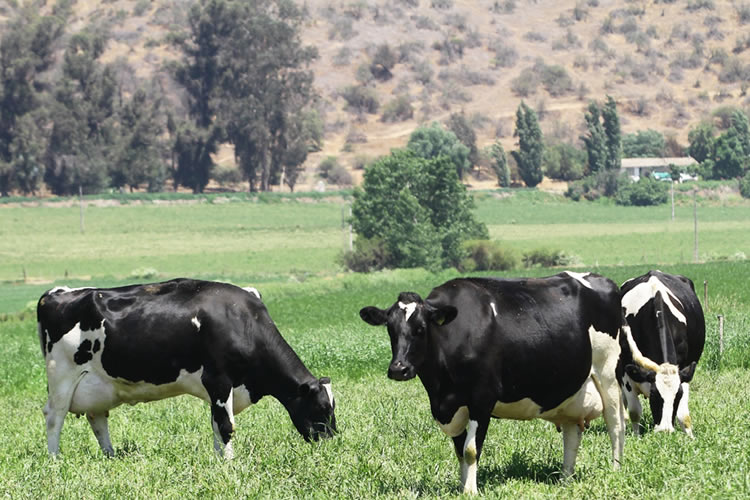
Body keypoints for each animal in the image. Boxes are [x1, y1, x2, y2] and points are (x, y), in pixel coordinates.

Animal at [37, 280, 338, 458]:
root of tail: (55, 293)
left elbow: (217, 424)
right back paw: (55, 459)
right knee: (54, 417)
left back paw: (111, 456)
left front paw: (219, 460)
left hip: (97, 384)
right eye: (322, 407)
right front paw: (230, 464)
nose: (333, 440)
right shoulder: (219, 379)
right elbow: (226, 426)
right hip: (62, 377)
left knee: (97, 419)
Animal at [362, 272, 624, 494]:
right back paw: (565, 479)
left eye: (420, 329)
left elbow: (470, 450)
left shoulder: (481, 398)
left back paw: (615, 469)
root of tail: (603, 280)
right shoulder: (455, 405)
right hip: (571, 390)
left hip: (608, 373)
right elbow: (459, 450)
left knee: (616, 425)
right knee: (572, 435)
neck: (440, 390)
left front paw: (470, 491)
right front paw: (462, 487)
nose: (399, 369)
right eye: (391, 329)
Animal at [620, 270, 708, 438]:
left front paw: (691, 437)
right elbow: (635, 412)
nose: (665, 430)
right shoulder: (627, 373)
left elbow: (684, 415)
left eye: (678, 396)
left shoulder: (684, 373)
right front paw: (636, 437)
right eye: (654, 395)